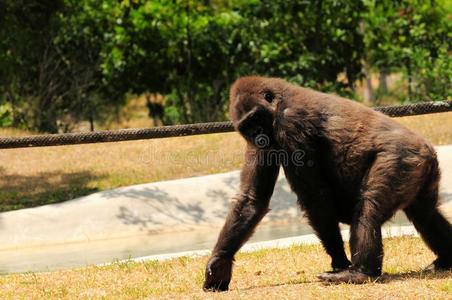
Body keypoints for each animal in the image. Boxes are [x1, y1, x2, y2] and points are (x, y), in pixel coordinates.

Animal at [202, 75, 452, 290]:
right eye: (246, 127)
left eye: (255, 118)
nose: (257, 135)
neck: (278, 103)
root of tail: (427, 148)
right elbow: (252, 198)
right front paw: (220, 261)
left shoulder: (291, 124)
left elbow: (315, 196)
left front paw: (340, 262)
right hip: (420, 169)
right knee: (426, 215)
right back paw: (445, 258)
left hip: (401, 158)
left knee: (369, 210)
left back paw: (360, 273)